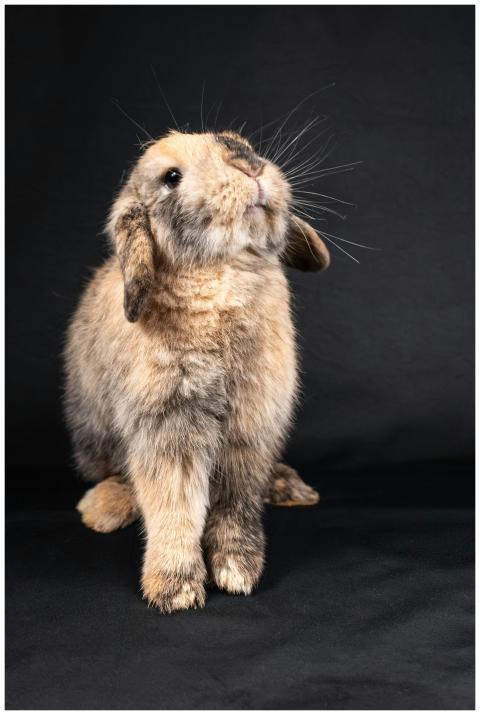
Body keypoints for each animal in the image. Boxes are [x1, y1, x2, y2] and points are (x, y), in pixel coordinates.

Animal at [64, 129, 330, 612]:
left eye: (246, 145)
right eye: (172, 177)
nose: (250, 166)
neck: (223, 273)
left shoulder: (251, 425)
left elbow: (235, 503)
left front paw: (238, 570)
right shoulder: (169, 425)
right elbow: (174, 504)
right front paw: (175, 589)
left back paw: (290, 488)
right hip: (95, 437)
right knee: (117, 475)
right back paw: (102, 510)